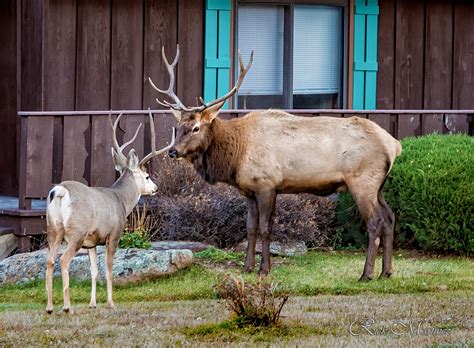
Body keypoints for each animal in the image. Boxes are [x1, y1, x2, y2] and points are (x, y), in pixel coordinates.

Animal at [44, 111, 174, 312]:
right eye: (147, 176)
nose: (156, 188)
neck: (121, 200)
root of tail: (60, 191)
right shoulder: (113, 234)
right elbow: (109, 268)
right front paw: (111, 302)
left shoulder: (91, 242)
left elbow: (94, 271)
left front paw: (93, 304)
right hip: (76, 231)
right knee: (64, 260)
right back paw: (67, 308)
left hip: (53, 229)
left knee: (50, 261)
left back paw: (50, 308)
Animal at [150, 45, 402, 280]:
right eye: (177, 127)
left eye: (195, 128)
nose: (172, 151)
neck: (235, 157)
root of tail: (394, 145)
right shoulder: (249, 190)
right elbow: (250, 228)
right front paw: (247, 267)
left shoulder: (266, 184)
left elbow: (265, 228)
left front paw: (264, 269)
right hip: (379, 185)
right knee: (390, 218)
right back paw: (386, 272)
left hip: (362, 181)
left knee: (375, 221)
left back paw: (366, 274)